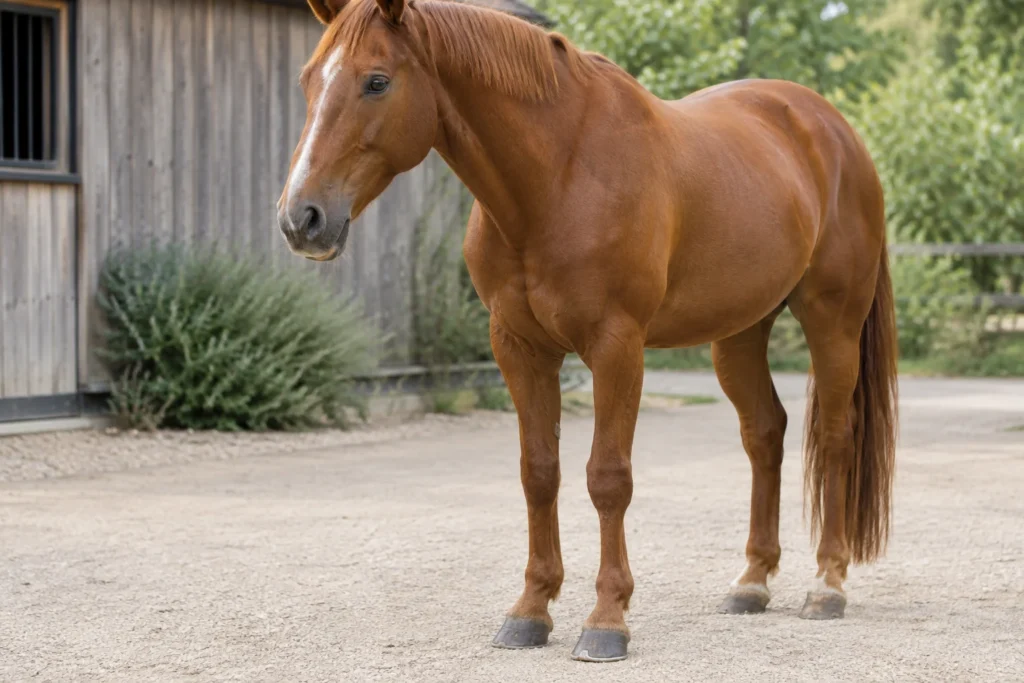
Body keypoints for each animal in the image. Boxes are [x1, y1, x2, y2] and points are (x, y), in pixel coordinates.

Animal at [278, 0, 899, 663]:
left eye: (376, 81)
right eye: (308, 80)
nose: (300, 218)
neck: (559, 177)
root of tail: (832, 129)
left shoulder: (616, 347)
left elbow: (607, 478)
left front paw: (606, 620)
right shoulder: (519, 349)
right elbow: (538, 472)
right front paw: (530, 610)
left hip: (832, 321)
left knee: (833, 437)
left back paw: (827, 585)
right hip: (739, 334)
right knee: (765, 434)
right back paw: (752, 582)